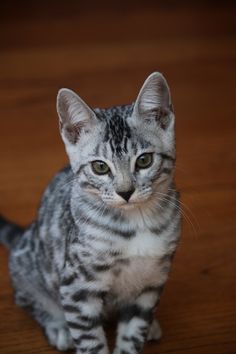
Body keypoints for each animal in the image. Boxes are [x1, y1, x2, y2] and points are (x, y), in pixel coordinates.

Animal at [0, 72, 181, 354]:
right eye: (100, 167)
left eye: (144, 161)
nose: (125, 192)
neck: (135, 223)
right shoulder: (77, 287)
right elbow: (90, 341)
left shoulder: (151, 283)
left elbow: (134, 331)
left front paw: (138, 334)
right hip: (28, 270)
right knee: (27, 297)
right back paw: (58, 325)